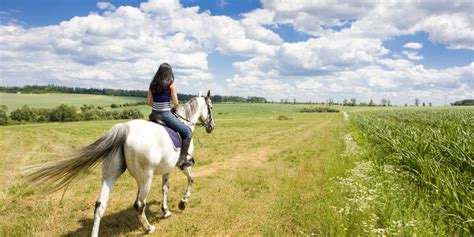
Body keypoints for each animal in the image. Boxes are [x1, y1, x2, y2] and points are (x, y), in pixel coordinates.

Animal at [25, 90, 215, 235]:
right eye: (211, 107)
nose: (211, 127)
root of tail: (125, 128)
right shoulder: (181, 165)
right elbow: (191, 179)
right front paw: (183, 203)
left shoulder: (166, 168)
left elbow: (165, 189)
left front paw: (166, 211)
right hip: (146, 177)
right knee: (139, 204)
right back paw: (148, 228)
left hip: (111, 174)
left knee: (100, 205)